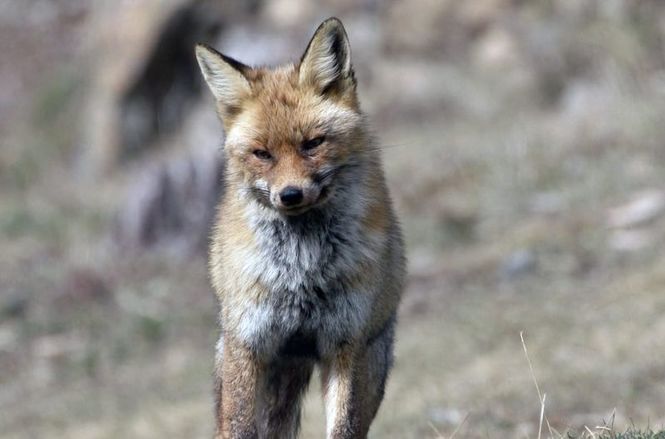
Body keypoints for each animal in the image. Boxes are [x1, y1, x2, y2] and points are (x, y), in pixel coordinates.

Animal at [195, 17, 404, 439]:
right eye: (262, 154)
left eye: (313, 144)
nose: (290, 195)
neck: (302, 269)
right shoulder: (249, 342)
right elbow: (239, 426)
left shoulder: (346, 343)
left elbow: (343, 427)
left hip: (371, 361)